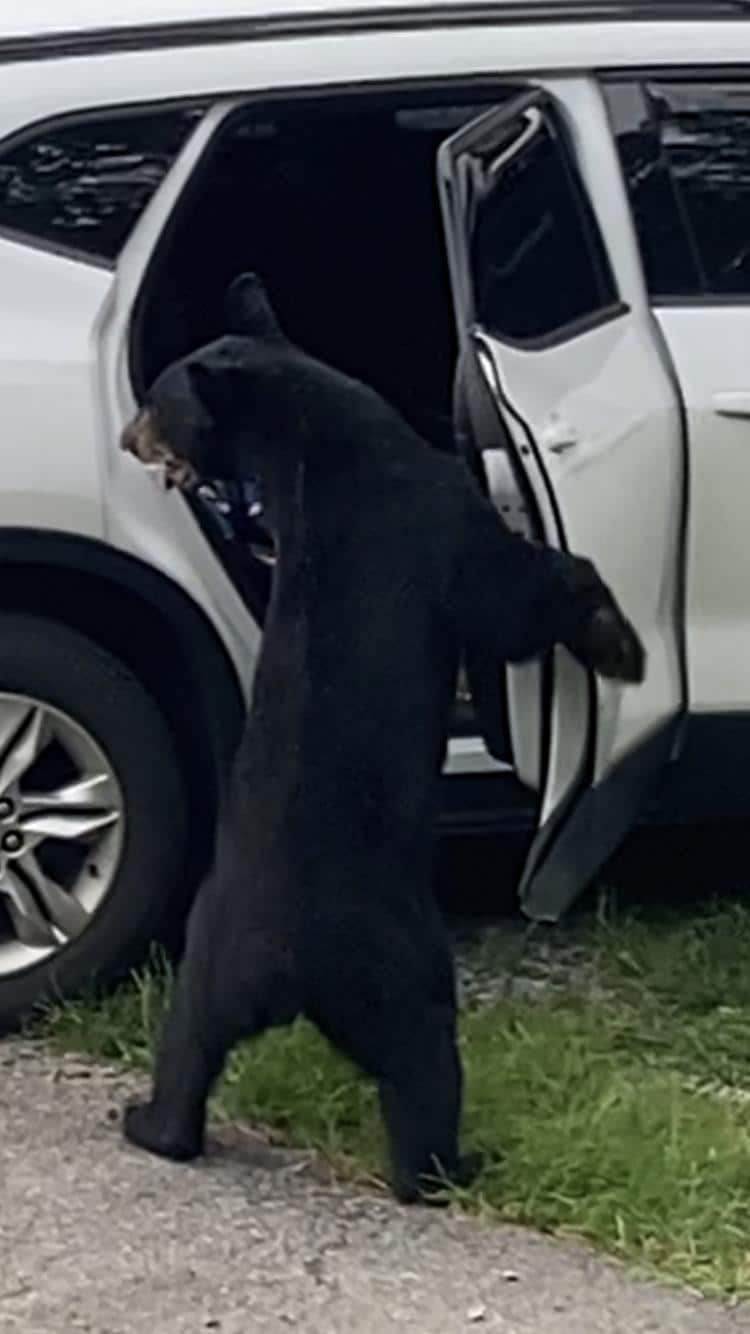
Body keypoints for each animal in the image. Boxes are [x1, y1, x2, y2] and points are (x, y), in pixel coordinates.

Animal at [121, 273, 644, 1203]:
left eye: (155, 403)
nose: (126, 435)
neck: (315, 428)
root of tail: (283, 959)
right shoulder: (434, 520)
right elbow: (516, 595)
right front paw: (618, 640)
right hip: (403, 973)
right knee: (425, 1066)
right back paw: (446, 1167)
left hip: (204, 964)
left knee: (187, 1045)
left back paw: (151, 1125)